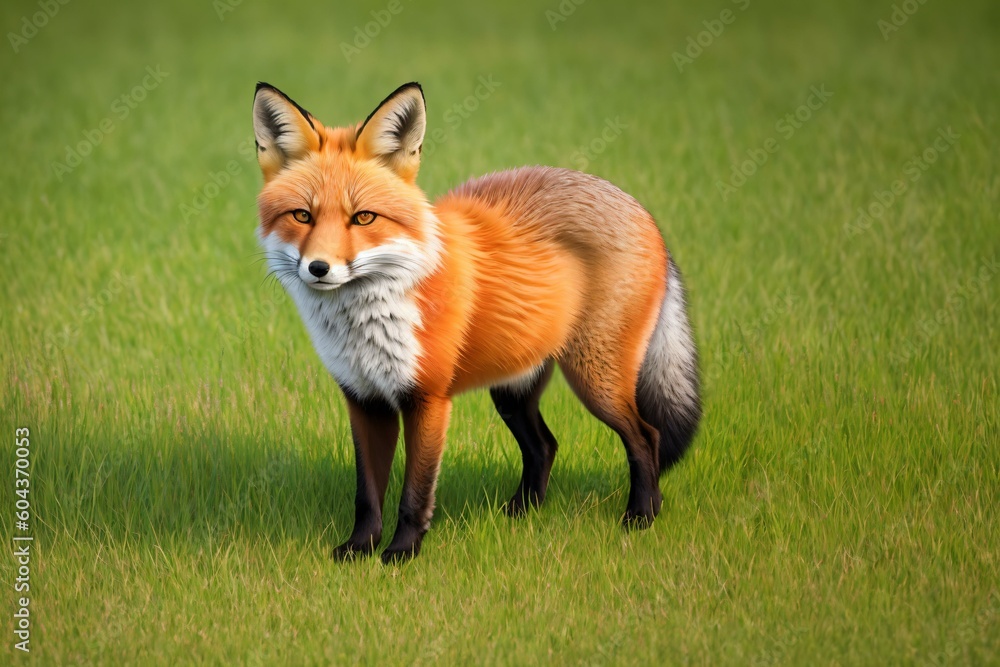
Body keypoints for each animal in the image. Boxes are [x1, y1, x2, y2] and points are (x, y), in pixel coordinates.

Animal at [252, 81, 701, 563]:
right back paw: (522, 513)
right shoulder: (364, 399)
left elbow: (414, 493)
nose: (319, 269)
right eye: (302, 215)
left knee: (647, 437)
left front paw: (401, 553)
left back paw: (642, 515)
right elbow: (367, 493)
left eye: (364, 217)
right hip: (513, 388)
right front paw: (359, 549)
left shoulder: (427, 398)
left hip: (596, 381)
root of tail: (638, 207)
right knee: (545, 446)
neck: (368, 322)